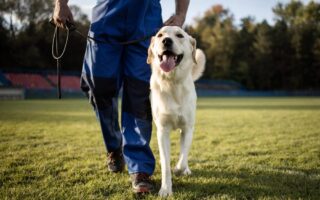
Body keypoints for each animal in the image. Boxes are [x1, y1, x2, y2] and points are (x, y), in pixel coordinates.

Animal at [147, 25, 205, 196]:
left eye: (179, 35)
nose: (166, 41)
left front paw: (180, 170)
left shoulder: (187, 128)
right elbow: (165, 165)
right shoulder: (162, 131)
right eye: (160, 35)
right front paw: (166, 189)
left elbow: (183, 158)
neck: (172, 83)